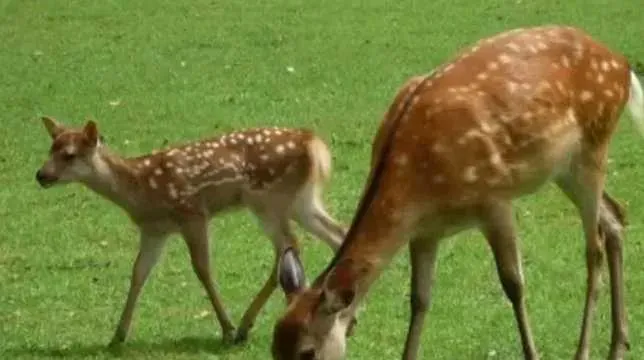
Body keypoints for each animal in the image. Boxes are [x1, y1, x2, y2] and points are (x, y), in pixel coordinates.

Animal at [34, 118, 348, 346]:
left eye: (69, 155)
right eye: (50, 149)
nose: (41, 175)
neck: (140, 190)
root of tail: (314, 144)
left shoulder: (193, 213)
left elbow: (202, 269)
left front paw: (226, 328)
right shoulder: (154, 231)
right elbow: (138, 273)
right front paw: (117, 336)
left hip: (268, 200)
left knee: (289, 246)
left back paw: (243, 326)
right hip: (301, 201)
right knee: (336, 234)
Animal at [270, 25, 644, 360]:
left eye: (307, 352)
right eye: (274, 349)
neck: (421, 187)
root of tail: (622, 64)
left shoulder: (495, 200)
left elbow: (514, 285)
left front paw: (533, 353)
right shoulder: (425, 231)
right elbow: (419, 299)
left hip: (593, 146)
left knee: (593, 247)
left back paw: (584, 351)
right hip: (564, 169)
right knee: (615, 216)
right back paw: (618, 345)